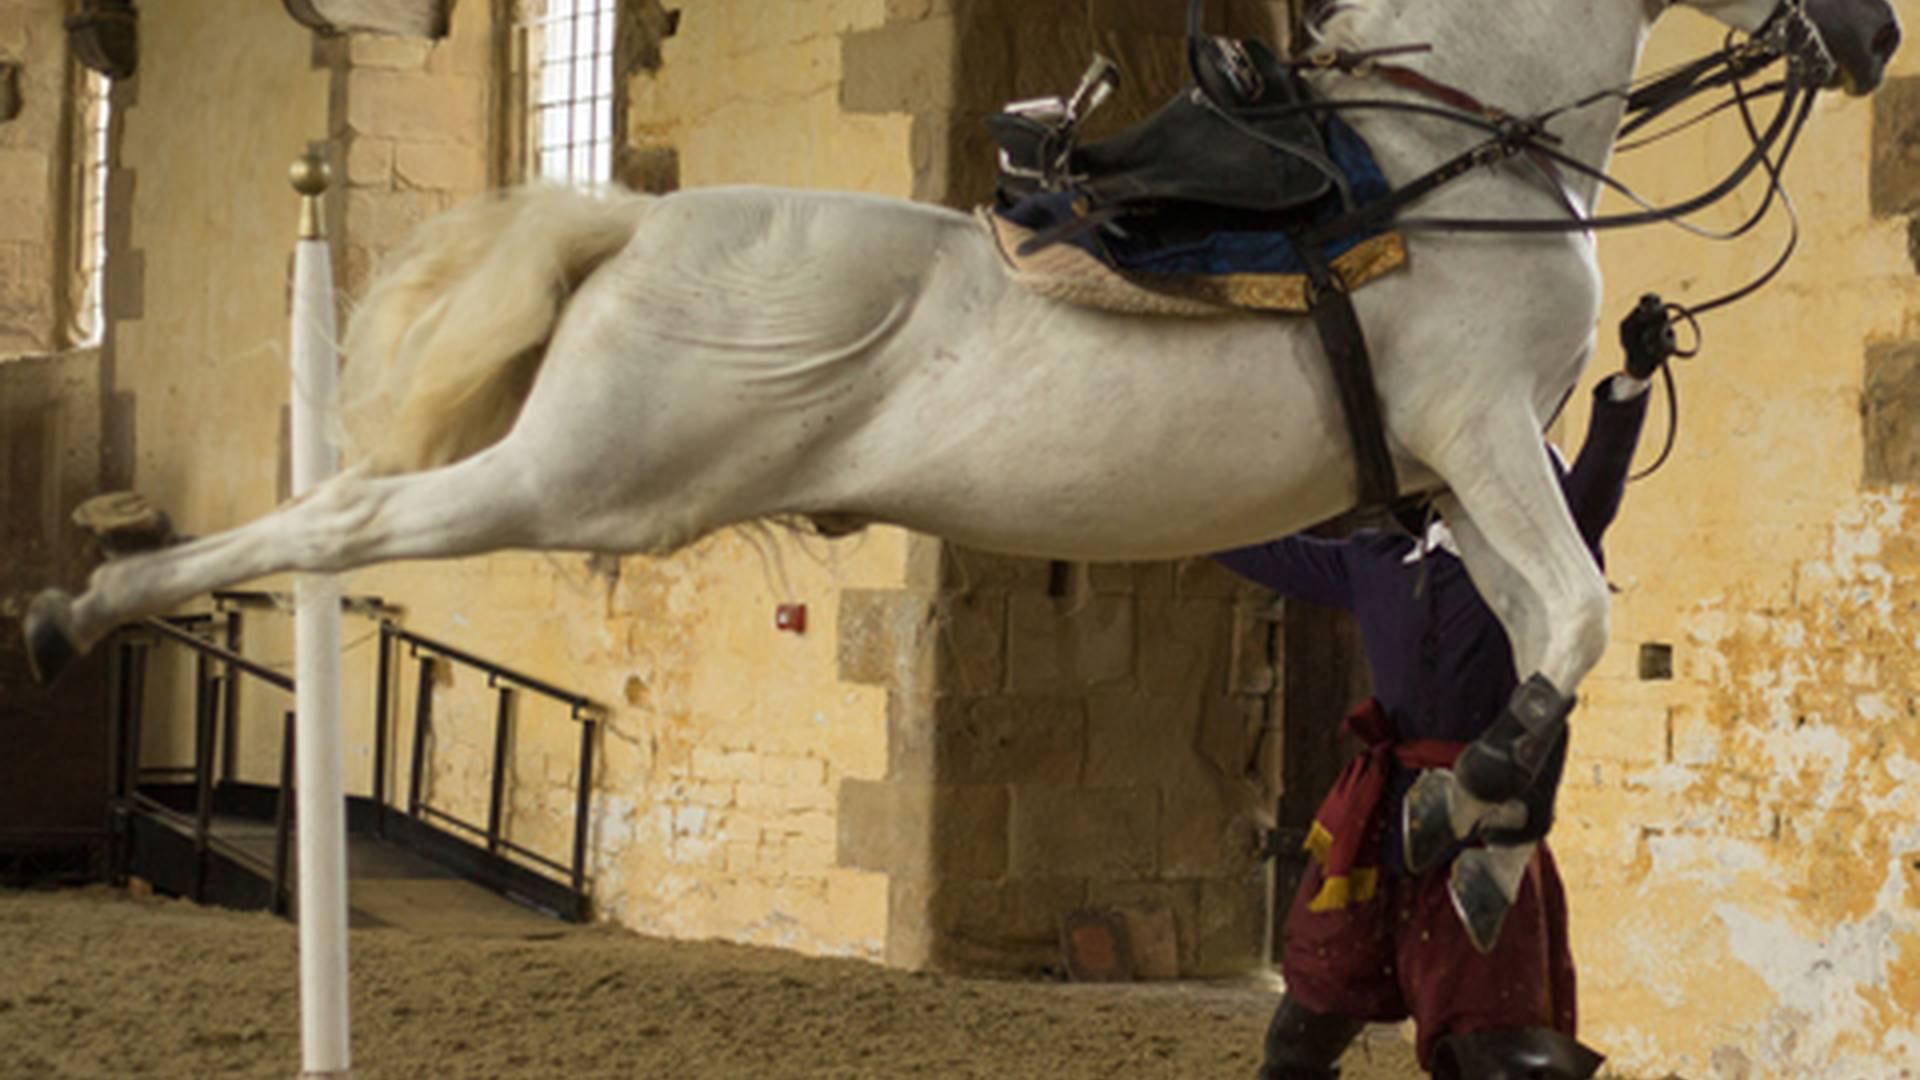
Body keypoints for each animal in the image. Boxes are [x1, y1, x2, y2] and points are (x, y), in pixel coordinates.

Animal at [24, 0, 1901, 949]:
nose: (1872, 31)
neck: (1461, 153)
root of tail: (634, 221)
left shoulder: (1458, 489)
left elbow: (1553, 649)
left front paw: (1482, 835)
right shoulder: (1484, 437)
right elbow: (1577, 627)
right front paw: (1469, 810)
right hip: (588, 480)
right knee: (341, 517)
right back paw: (75, 610)